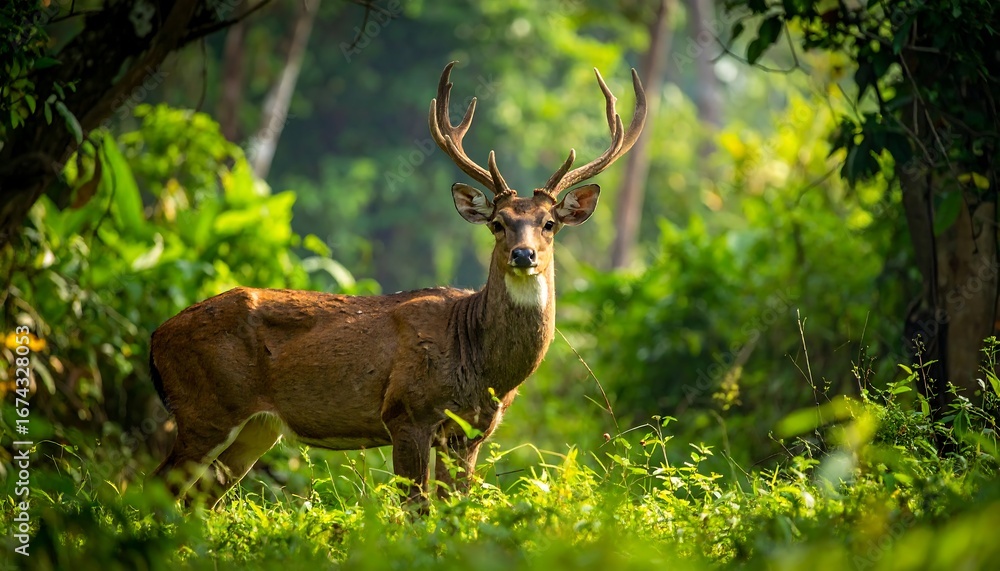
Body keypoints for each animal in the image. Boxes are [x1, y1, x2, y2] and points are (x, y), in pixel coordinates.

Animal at [149, 61, 645, 508]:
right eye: (498, 224)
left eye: (549, 224)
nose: (524, 255)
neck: (479, 361)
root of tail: (157, 336)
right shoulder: (406, 412)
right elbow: (415, 509)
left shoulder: (470, 433)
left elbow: (453, 510)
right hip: (205, 407)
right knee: (157, 487)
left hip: (256, 427)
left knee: (201, 497)